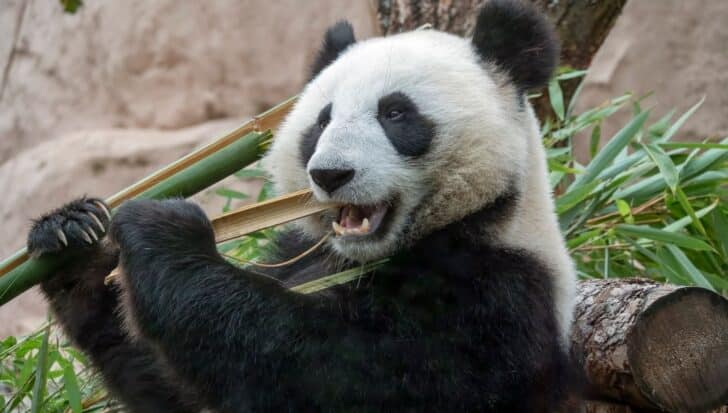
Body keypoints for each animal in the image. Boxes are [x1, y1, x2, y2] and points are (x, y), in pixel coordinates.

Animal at [27, 1, 576, 410]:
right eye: (321, 121)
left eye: (396, 113)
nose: (330, 174)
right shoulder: (299, 250)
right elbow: (170, 388)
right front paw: (75, 237)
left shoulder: (493, 298)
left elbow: (331, 371)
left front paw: (163, 229)